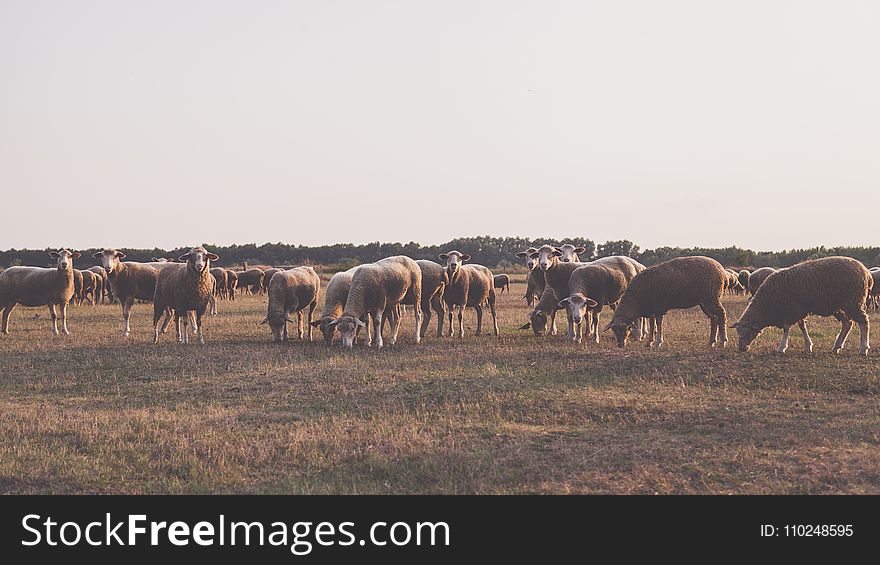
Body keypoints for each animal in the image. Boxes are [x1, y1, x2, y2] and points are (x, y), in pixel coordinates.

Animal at [728, 254, 872, 352]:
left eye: (746, 333)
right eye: (738, 333)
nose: (741, 349)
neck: (768, 303)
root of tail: (866, 272)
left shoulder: (792, 310)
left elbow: (786, 328)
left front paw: (782, 347)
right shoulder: (799, 310)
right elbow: (802, 327)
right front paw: (808, 346)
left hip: (854, 302)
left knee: (863, 322)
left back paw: (863, 348)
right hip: (839, 306)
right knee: (847, 323)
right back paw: (836, 347)